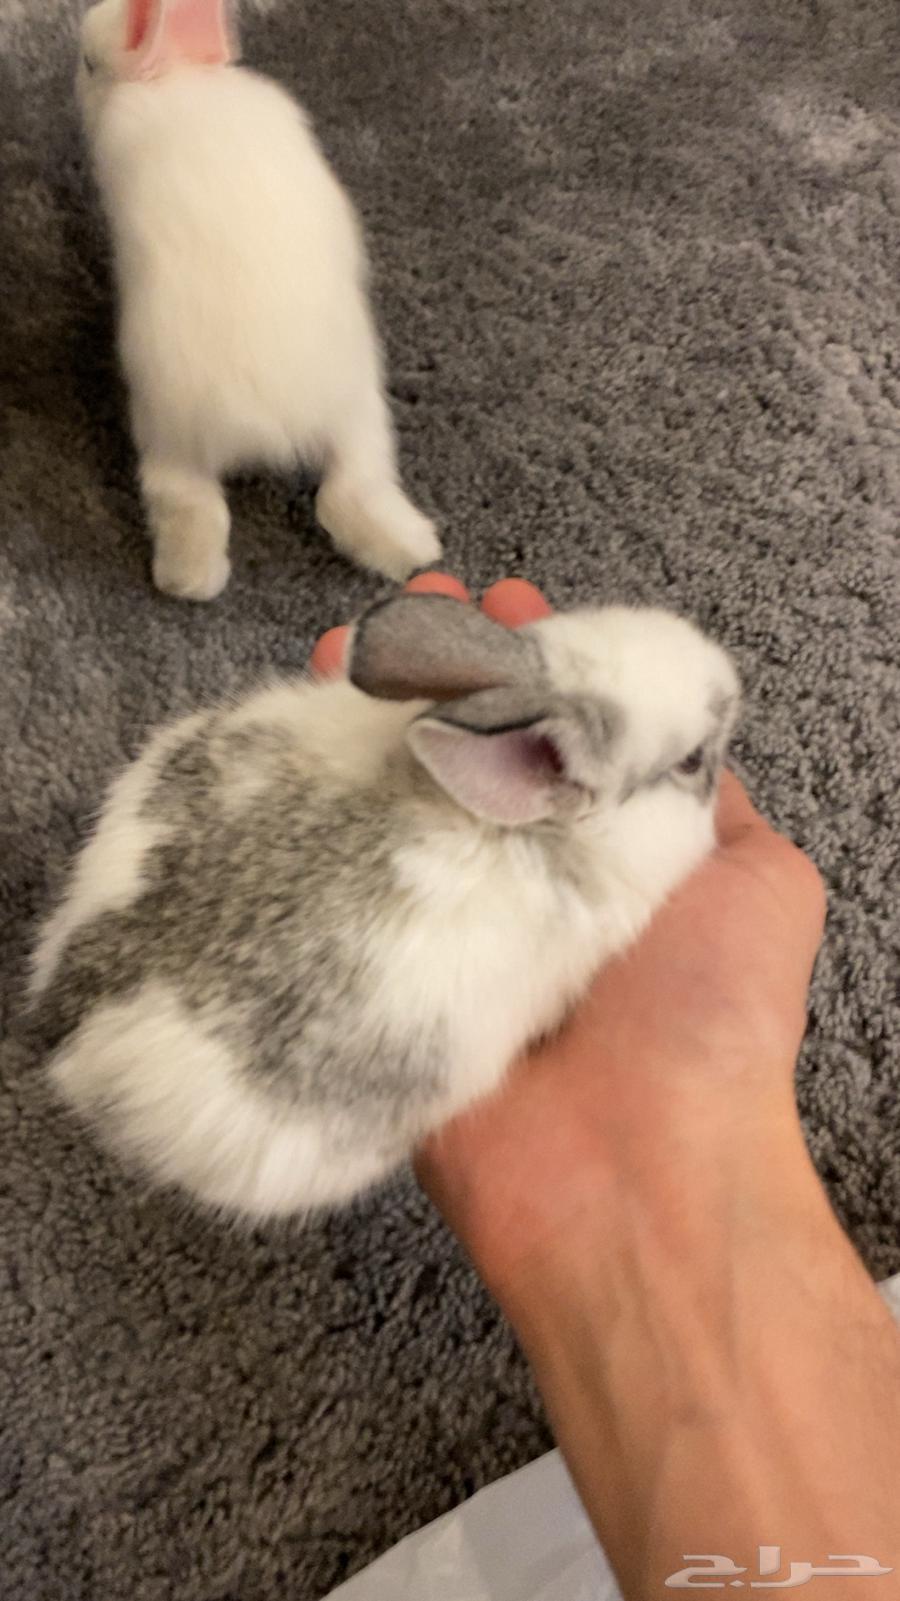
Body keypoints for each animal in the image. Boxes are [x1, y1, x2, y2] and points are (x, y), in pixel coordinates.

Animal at [77, 0, 440, 600]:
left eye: (87, 62)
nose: (79, 69)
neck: (180, 77)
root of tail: (273, 421)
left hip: (167, 429)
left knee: (188, 500)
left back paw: (187, 580)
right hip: (361, 413)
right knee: (350, 492)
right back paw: (415, 552)